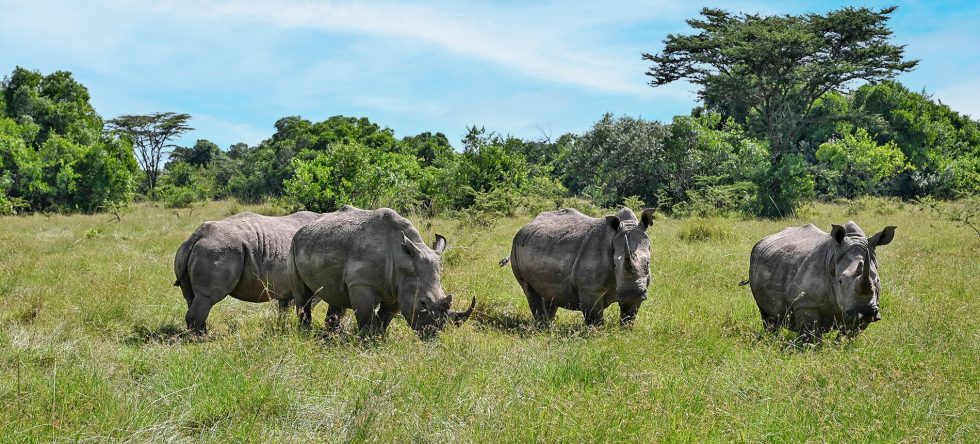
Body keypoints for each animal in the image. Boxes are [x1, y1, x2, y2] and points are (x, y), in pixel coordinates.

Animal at [173, 211, 321, 333]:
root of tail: (195, 237)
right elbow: (305, 307)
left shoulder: (286, 290)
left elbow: (284, 310)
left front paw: (282, 328)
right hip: (217, 250)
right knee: (207, 298)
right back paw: (200, 339)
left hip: (191, 250)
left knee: (191, 297)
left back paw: (200, 333)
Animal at [288, 206, 474, 337]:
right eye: (423, 303)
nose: (434, 334)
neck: (403, 259)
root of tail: (303, 228)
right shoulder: (361, 284)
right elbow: (366, 318)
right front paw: (366, 342)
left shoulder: (399, 288)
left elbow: (386, 317)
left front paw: (379, 338)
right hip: (293, 244)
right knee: (303, 296)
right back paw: (305, 333)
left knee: (335, 295)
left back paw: (331, 335)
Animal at [507, 207, 656, 327]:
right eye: (614, 264)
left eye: (648, 263)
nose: (632, 292)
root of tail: (525, 226)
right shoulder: (590, 289)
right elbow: (594, 317)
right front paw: (597, 334)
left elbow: (629, 313)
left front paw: (625, 330)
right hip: (515, 245)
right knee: (529, 290)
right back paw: (543, 328)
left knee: (548, 291)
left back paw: (550, 325)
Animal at [744, 221, 896, 341]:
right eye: (840, 281)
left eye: (878, 281)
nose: (865, 311)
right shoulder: (806, 305)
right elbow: (811, 336)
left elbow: (849, 334)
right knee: (767, 317)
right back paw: (772, 338)